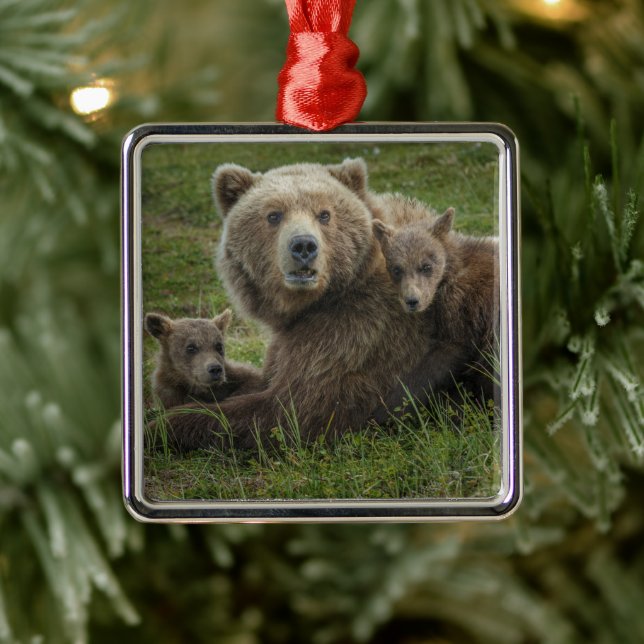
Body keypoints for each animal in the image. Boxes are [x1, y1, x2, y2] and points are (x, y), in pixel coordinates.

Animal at [161, 158, 482, 453]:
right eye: (274, 215)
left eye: (325, 214)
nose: (303, 245)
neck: (316, 302)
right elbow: (262, 378)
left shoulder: (357, 336)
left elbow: (292, 411)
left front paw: (163, 425)